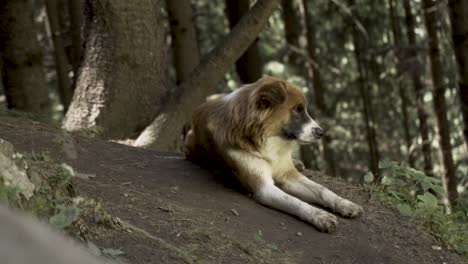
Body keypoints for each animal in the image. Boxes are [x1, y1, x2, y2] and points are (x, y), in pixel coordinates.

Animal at [185, 76, 364, 231]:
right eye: (297, 110)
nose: (321, 133)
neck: (267, 142)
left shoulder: (288, 174)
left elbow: (322, 189)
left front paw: (345, 204)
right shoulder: (263, 188)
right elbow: (294, 201)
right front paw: (320, 215)